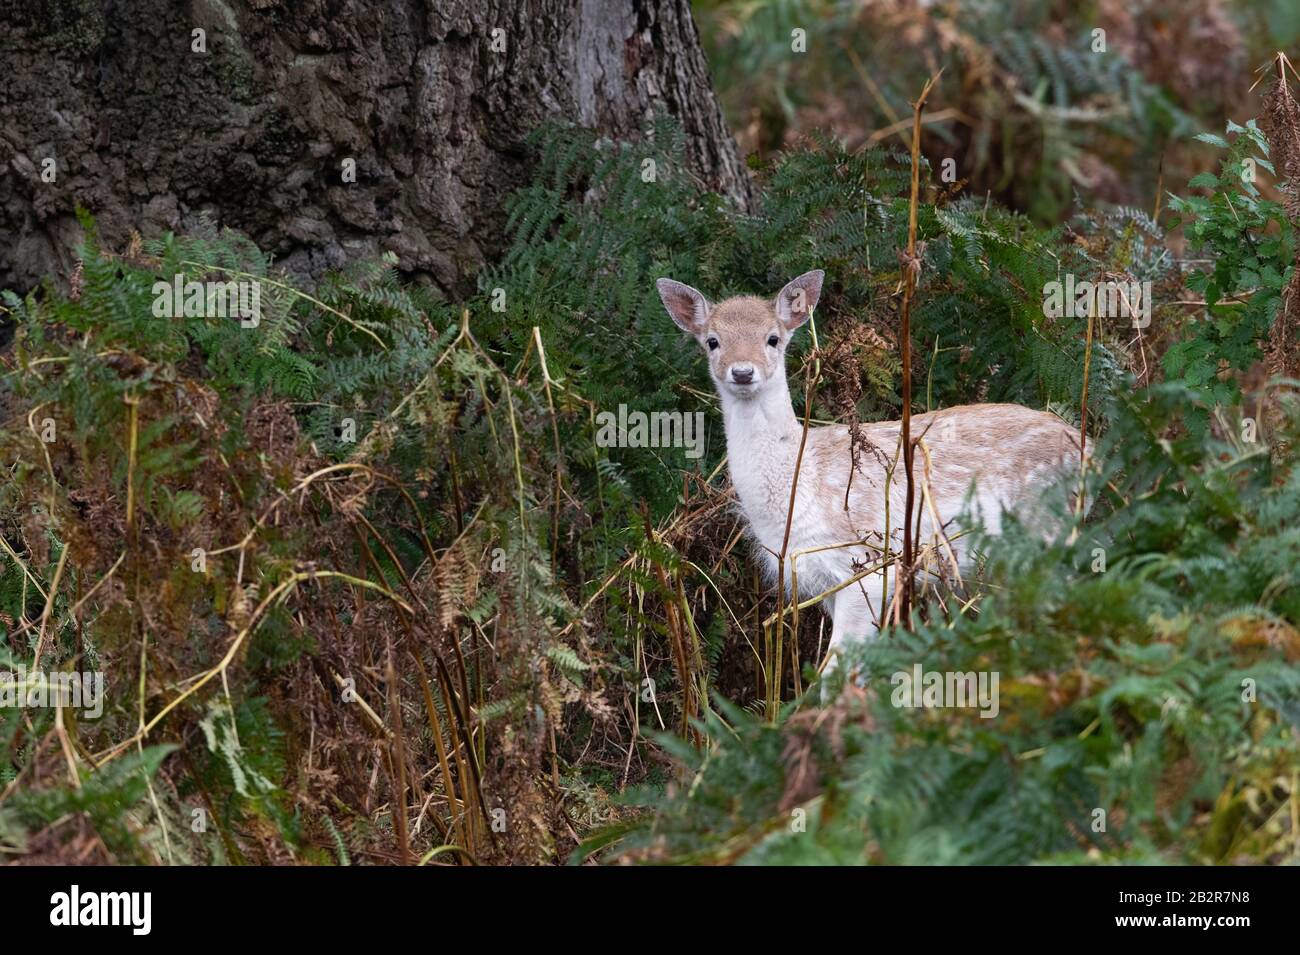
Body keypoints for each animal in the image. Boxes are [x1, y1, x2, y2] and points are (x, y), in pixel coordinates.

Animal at [656, 269, 1085, 692]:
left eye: (772, 338)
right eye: (712, 341)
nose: (743, 371)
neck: (802, 487)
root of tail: (1088, 447)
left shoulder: (870, 565)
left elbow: (836, 672)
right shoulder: (822, 582)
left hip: (1046, 531)